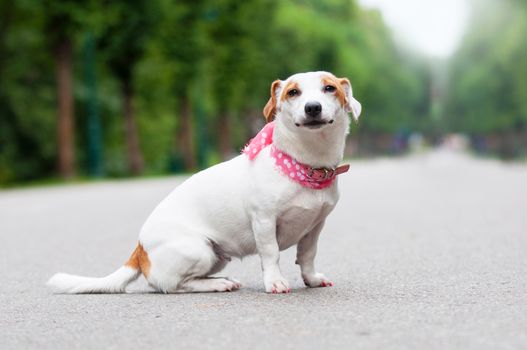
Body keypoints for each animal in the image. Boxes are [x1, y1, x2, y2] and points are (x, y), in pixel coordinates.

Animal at [47, 70, 364, 292]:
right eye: (293, 92)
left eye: (330, 88)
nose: (312, 107)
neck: (303, 164)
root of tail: (139, 250)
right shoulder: (264, 221)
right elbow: (271, 254)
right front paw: (275, 282)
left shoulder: (315, 225)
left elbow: (307, 255)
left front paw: (311, 279)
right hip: (198, 250)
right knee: (170, 285)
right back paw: (217, 284)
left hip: (215, 255)